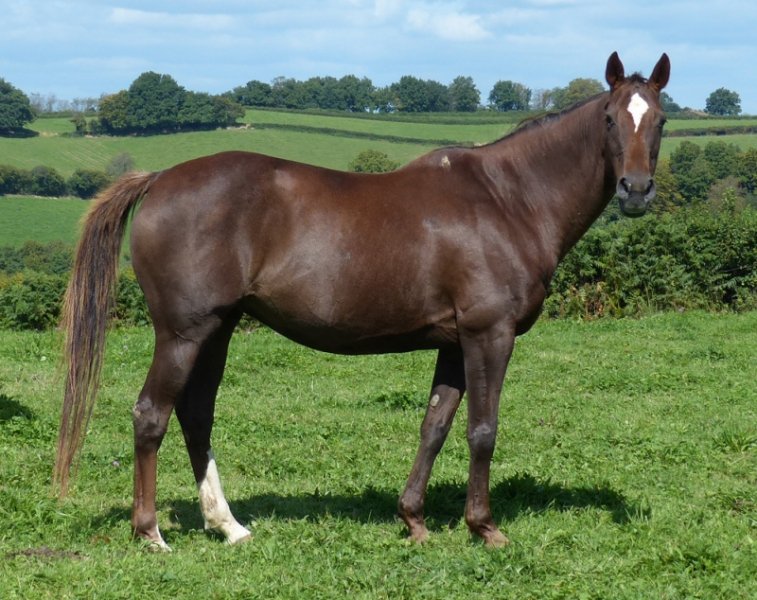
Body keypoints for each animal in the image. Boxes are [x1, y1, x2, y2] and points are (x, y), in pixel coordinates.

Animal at [54, 52, 670, 549]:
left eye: (660, 120)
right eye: (611, 118)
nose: (636, 191)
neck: (507, 200)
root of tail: (159, 180)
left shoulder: (454, 343)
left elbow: (434, 426)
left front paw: (414, 520)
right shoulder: (487, 335)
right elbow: (482, 430)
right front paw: (484, 527)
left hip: (218, 329)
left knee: (195, 414)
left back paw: (227, 525)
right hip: (184, 333)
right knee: (151, 415)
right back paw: (151, 532)